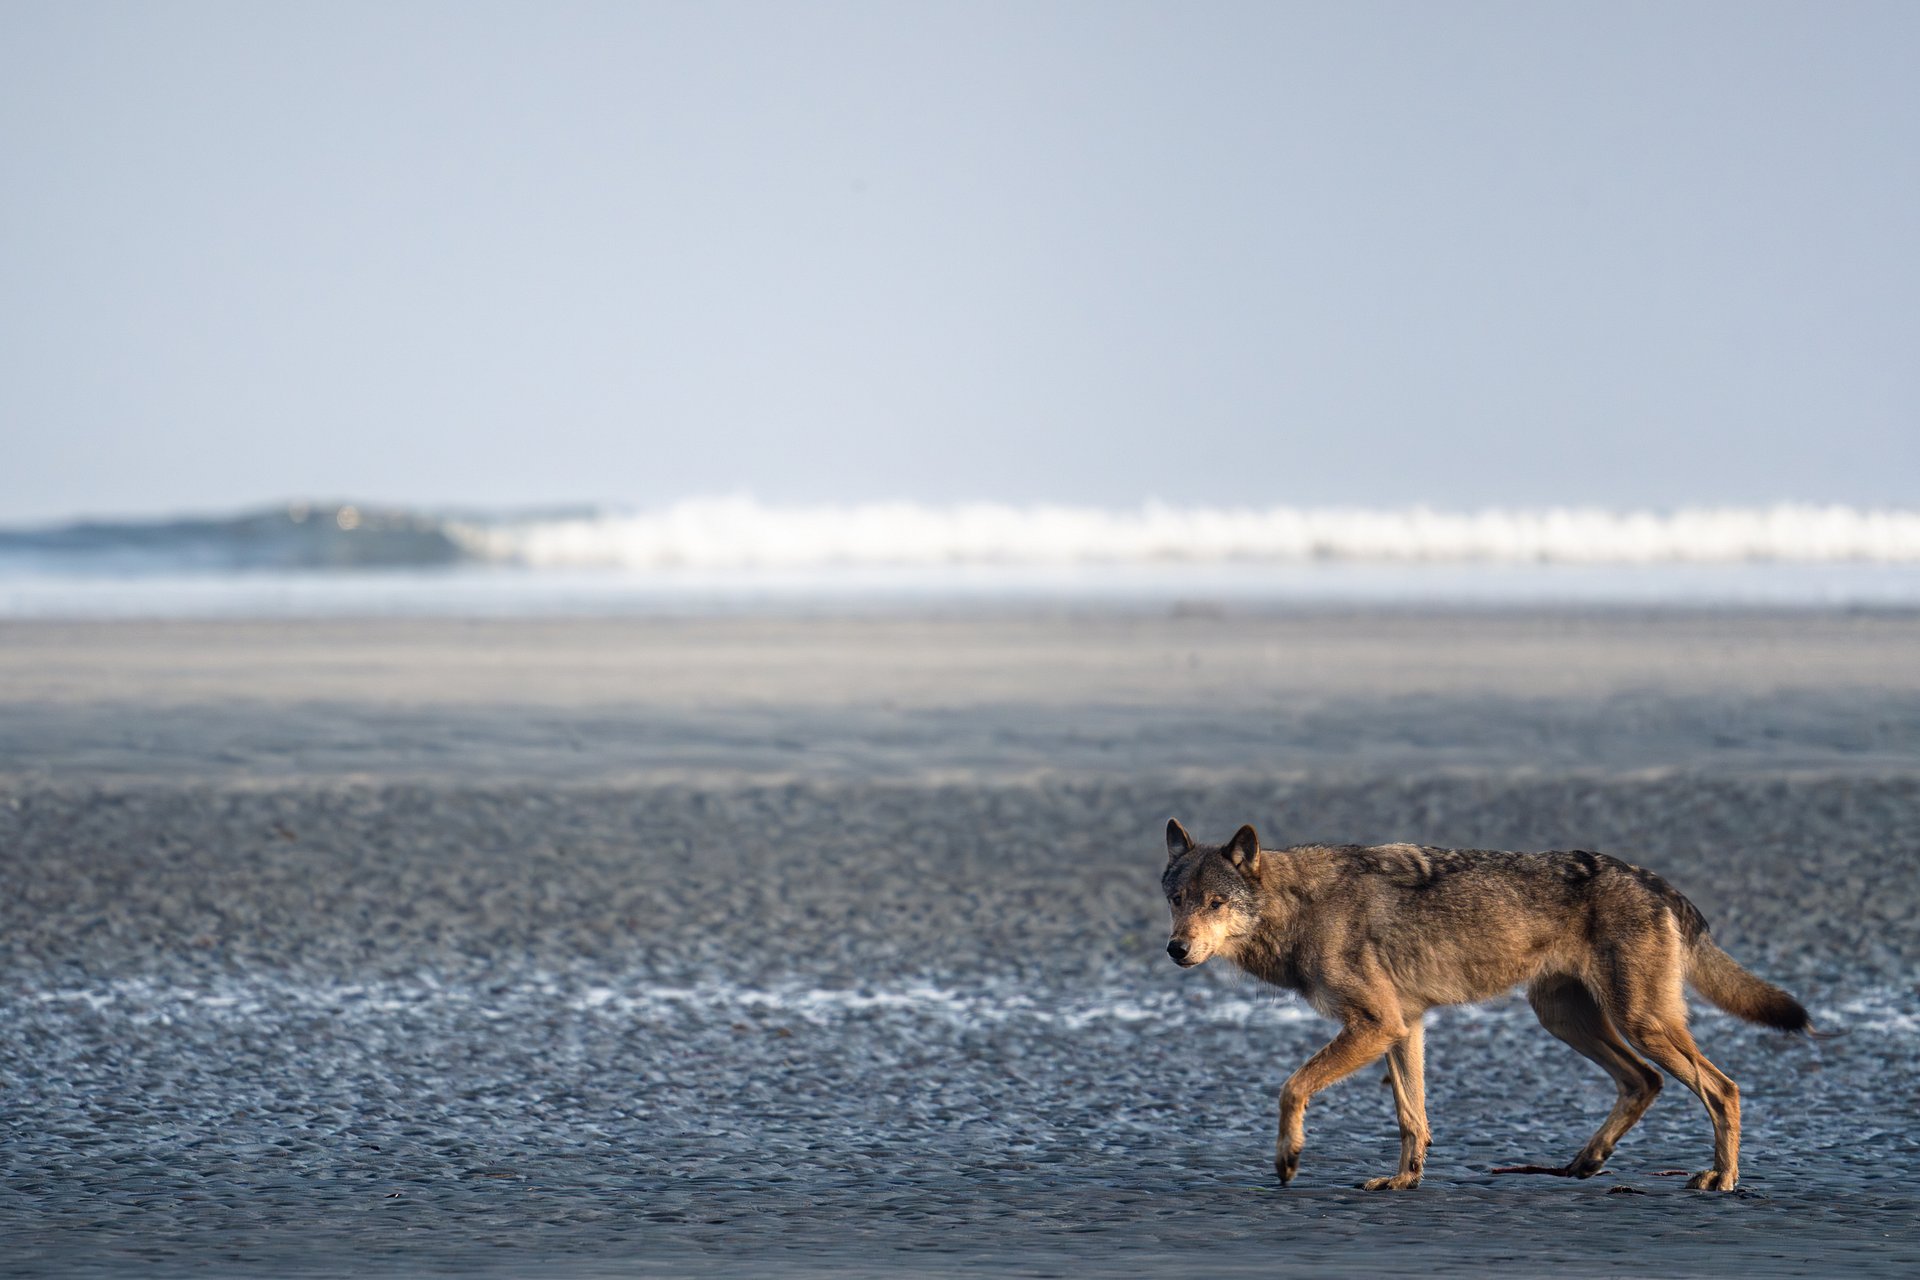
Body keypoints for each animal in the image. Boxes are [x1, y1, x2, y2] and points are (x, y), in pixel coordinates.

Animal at [1161, 819, 1814, 1192]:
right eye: (1176, 899)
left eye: (1216, 903)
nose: (1176, 948)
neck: (1298, 906)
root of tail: (1656, 881)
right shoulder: (1402, 1026)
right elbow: (1412, 1116)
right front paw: (1404, 1180)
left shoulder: (1375, 1023)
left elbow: (1291, 1087)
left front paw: (1289, 1159)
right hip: (1565, 1020)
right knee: (1644, 1081)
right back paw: (1586, 1163)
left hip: (1639, 1023)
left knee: (1722, 1089)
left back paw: (1722, 1179)